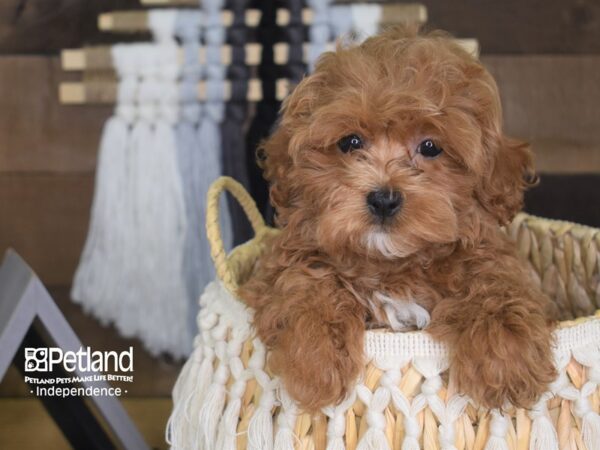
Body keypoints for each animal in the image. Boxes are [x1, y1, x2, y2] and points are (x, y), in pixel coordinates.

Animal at [240, 28, 556, 414]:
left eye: (431, 147)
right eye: (350, 142)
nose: (383, 199)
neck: (393, 265)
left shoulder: (486, 254)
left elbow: (497, 283)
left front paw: (508, 359)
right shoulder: (279, 267)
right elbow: (304, 280)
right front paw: (315, 361)